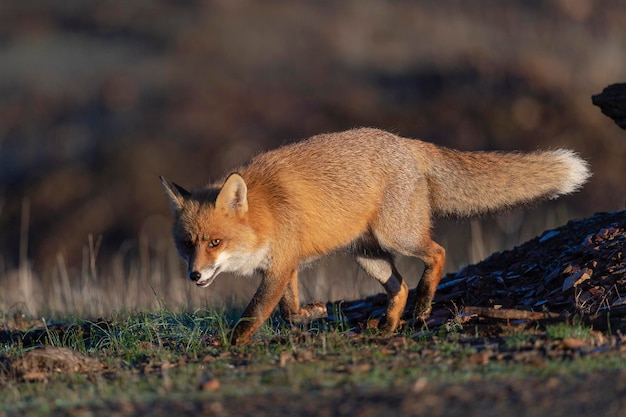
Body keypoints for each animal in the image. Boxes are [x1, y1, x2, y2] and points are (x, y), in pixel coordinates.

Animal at [158, 127, 588, 344]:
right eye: (187, 245)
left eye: (215, 243)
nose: (195, 275)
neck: (266, 213)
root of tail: (402, 141)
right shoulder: (285, 266)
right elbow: (288, 311)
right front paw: (313, 313)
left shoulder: (279, 267)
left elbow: (255, 314)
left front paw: (230, 345)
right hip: (367, 255)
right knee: (399, 286)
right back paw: (387, 327)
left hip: (398, 236)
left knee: (437, 253)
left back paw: (423, 306)